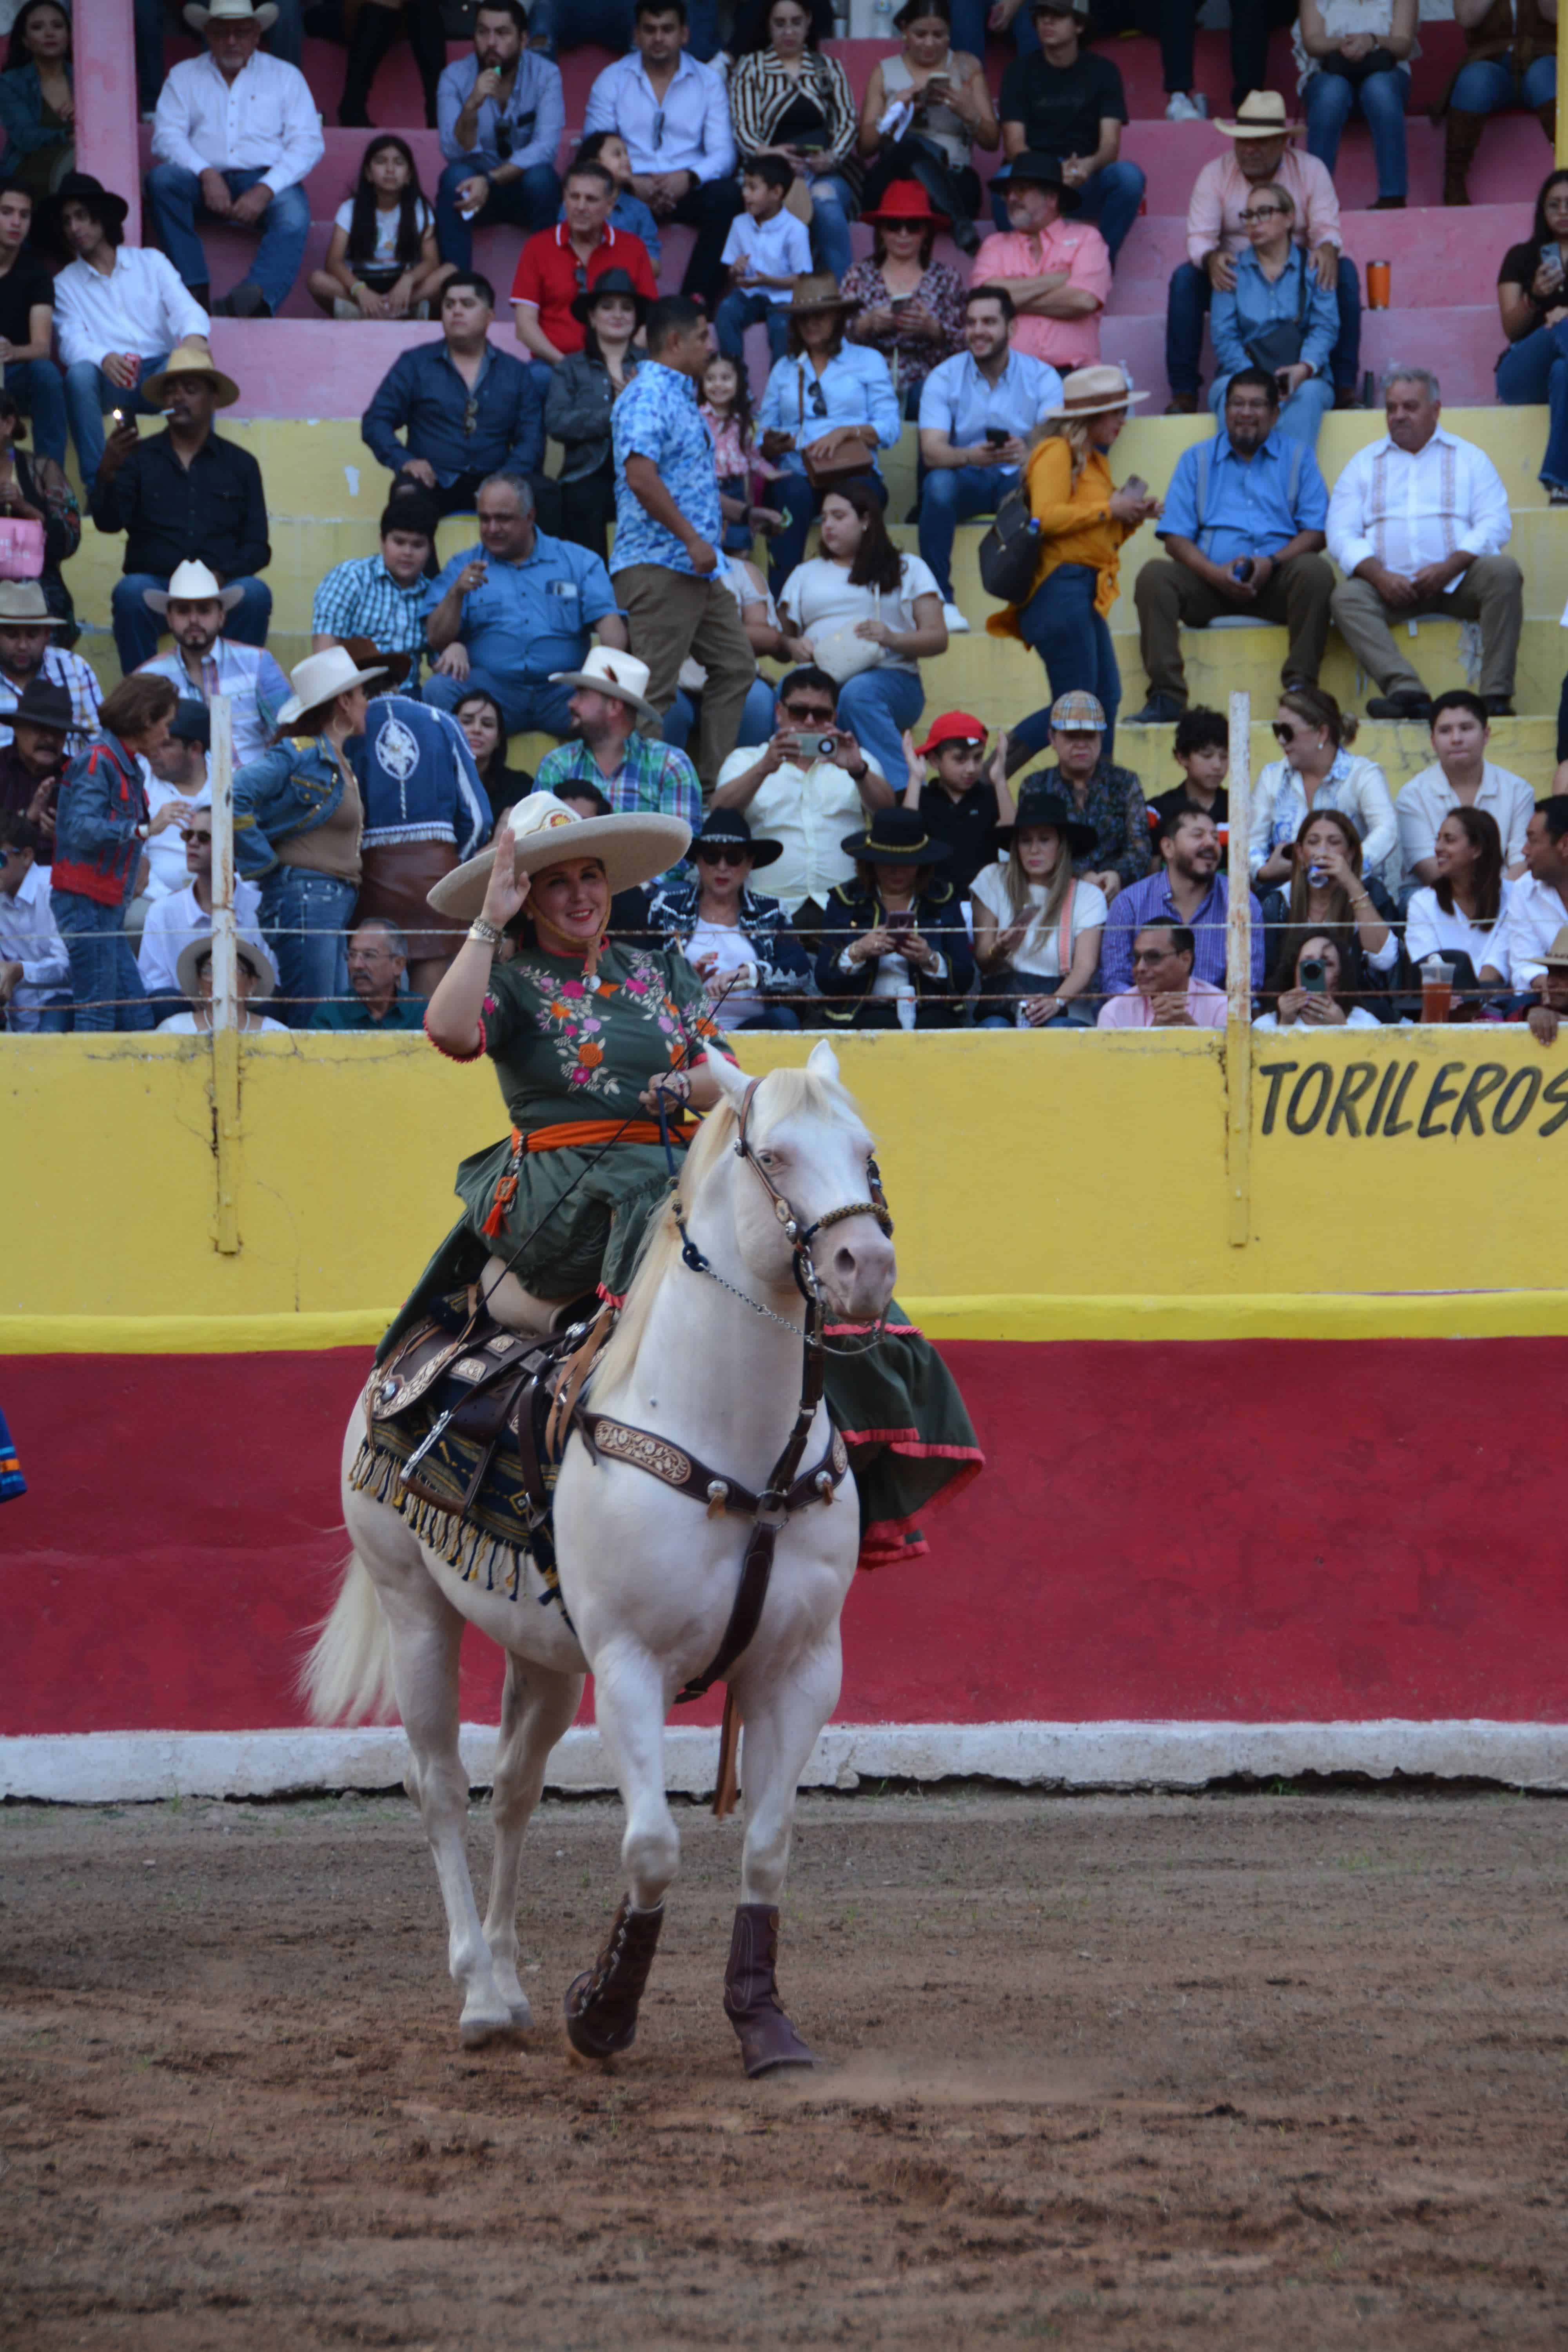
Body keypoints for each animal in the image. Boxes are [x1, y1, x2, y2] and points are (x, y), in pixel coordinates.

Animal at [305, 1049, 893, 2079]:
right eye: (774, 1153)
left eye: (865, 1152)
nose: (866, 1265)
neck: (739, 1453)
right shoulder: (628, 1666)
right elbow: (651, 1844)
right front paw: (604, 2011)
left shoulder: (802, 1669)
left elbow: (767, 1845)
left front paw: (763, 2023)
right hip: (415, 1607)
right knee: (439, 1784)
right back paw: (479, 1994)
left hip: (540, 1655)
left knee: (512, 1789)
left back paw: (509, 1983)